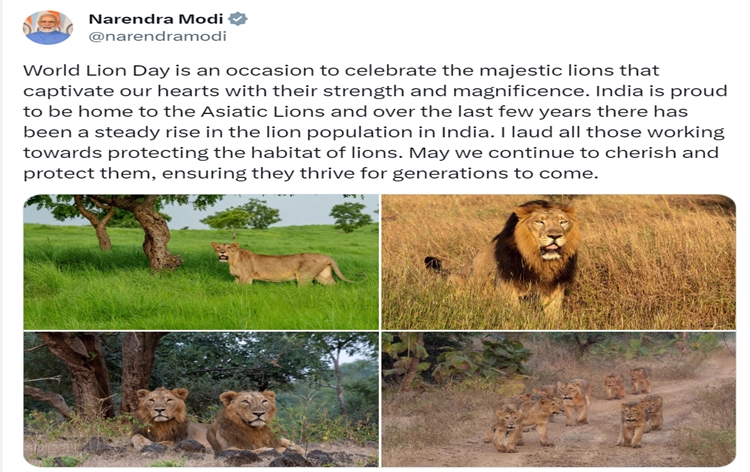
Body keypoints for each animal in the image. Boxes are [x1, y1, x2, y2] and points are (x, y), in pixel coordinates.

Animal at [211, 242, 358, 286]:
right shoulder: (237, 278)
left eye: (229, 247)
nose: (222, 252)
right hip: (324, 276)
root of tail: (326, 256)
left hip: (304, 276)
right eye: (219, 247)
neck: (232, 261)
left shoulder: (246, 277)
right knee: (333, 285)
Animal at [425, 200, 579, 316]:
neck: (540, 262)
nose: (555, 236)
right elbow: (514, 314)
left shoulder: (555, 287)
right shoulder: (506, 286)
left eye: (563, 222)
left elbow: (553, 316)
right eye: (540, 222)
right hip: (456, 281)